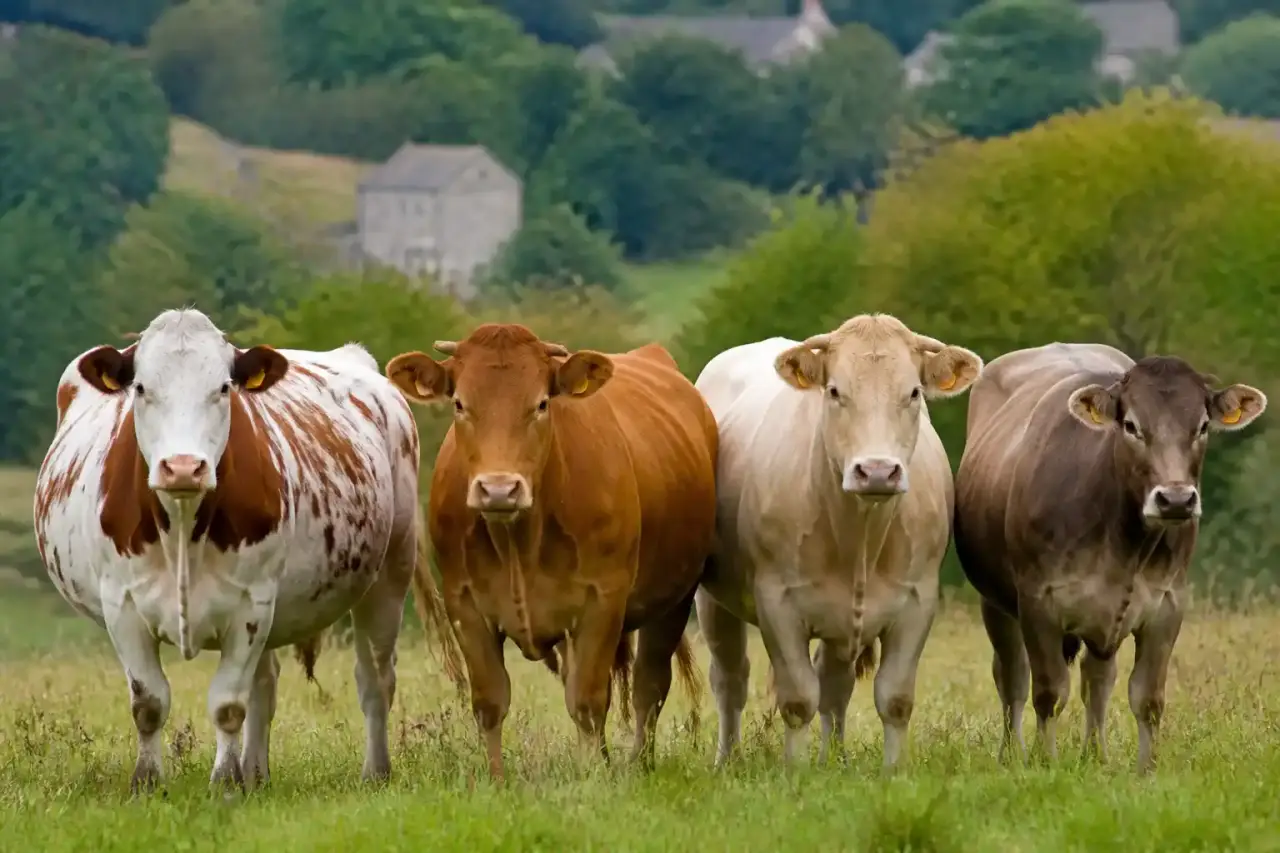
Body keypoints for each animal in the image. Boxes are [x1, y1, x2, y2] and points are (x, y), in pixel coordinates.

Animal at [32, 308, 462, 794]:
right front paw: (147, 783)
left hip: (390, 571)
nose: (184, 467)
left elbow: (228, 704)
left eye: (223, 388)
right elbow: (149, 703)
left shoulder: (250, 605)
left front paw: (224, 783)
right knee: (266, 685)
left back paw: (375, 772)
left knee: (374, 679)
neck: (183, 524)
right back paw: (255, 773)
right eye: (141, 388)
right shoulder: (122, 605)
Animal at [385, 323, 717, 780]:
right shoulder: (464, 605)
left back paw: (638, 764)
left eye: (541, 403)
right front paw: (496, 780)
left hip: (673, 600)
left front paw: (591, 777)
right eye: (459, 404)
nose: (499, 489)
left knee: (648, 686)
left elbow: (589, 702)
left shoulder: (602, 602)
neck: (518, 542)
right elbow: (490, 701)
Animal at [693, 314, 983, 770]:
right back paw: (727, 759)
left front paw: (892, 772)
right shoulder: (777, 602)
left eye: (913, 392)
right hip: (713, 602)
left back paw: (835, 760)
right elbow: (797, 699)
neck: (859, 534)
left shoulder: (917, 601)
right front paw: (794, 772)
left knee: (834, 685)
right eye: (834, 391)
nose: (878, 471)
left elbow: (894, 698)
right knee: (730, 680)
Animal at [952, 343, 1266, 773]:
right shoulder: (1038, 601)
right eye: (1131, 425)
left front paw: (1146, 771)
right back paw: (1013, 754)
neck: (1124, 546)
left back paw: (1095, 756)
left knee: (1097, 680)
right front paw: (1046, 763)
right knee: (1012, 677)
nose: (1176, 500)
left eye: (1202, 426)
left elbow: (1147, 697)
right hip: (995, 602)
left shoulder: (1167, 604)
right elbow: (1049, 692)